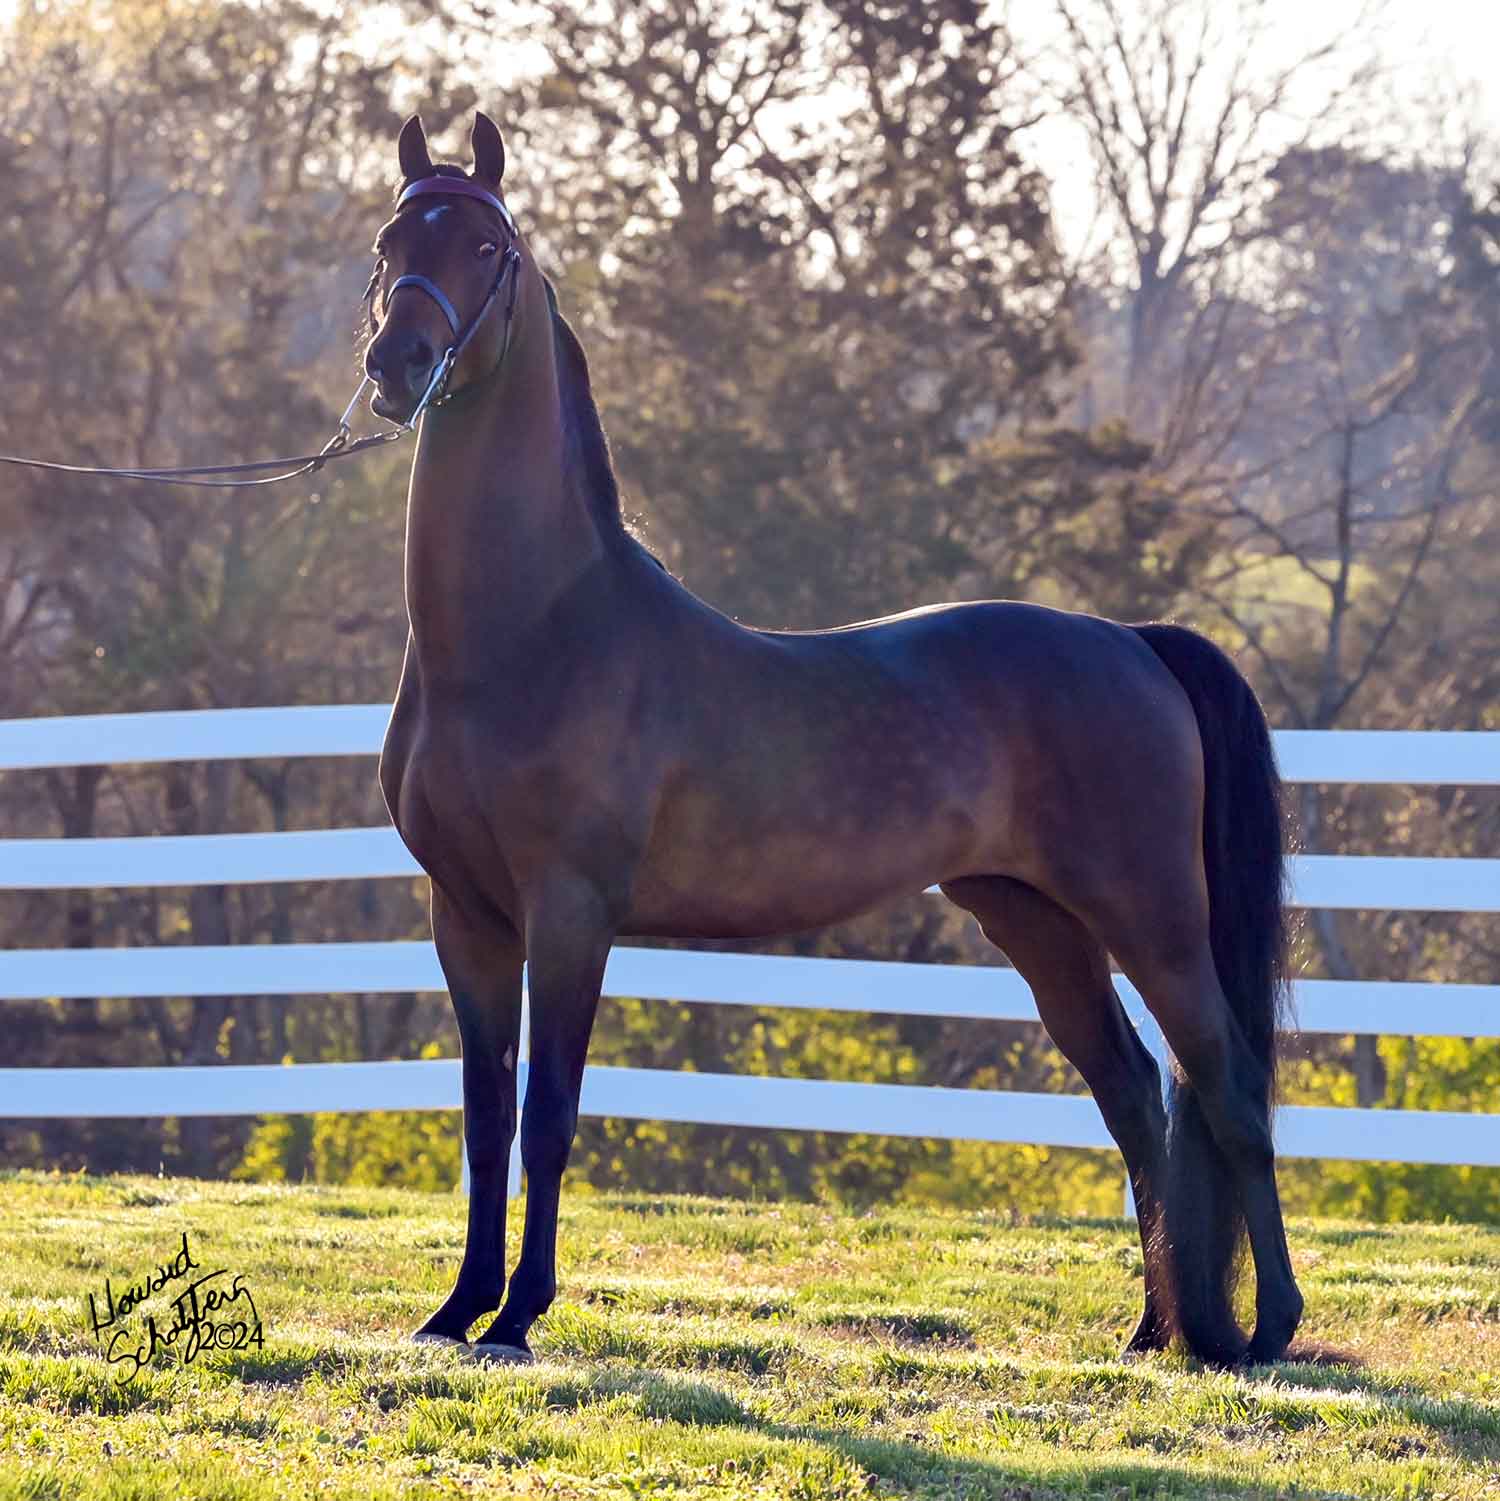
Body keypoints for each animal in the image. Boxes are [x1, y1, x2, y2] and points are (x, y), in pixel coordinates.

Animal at [365, 111, 1303, 1368]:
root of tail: (1131, 642)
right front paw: (456, 1308)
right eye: (390, 243)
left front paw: (517, 1316)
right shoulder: (464, 912)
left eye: (481, 246)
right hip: (1037, 921)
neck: (529, 633)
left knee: (1230, 1084)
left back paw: (1269, 1327)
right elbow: (482, 1115)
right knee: (1136, 1095)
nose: (397, 362)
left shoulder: (569, 911)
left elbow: (549, 1116)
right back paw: (1152, 1329)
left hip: (1150, 913)